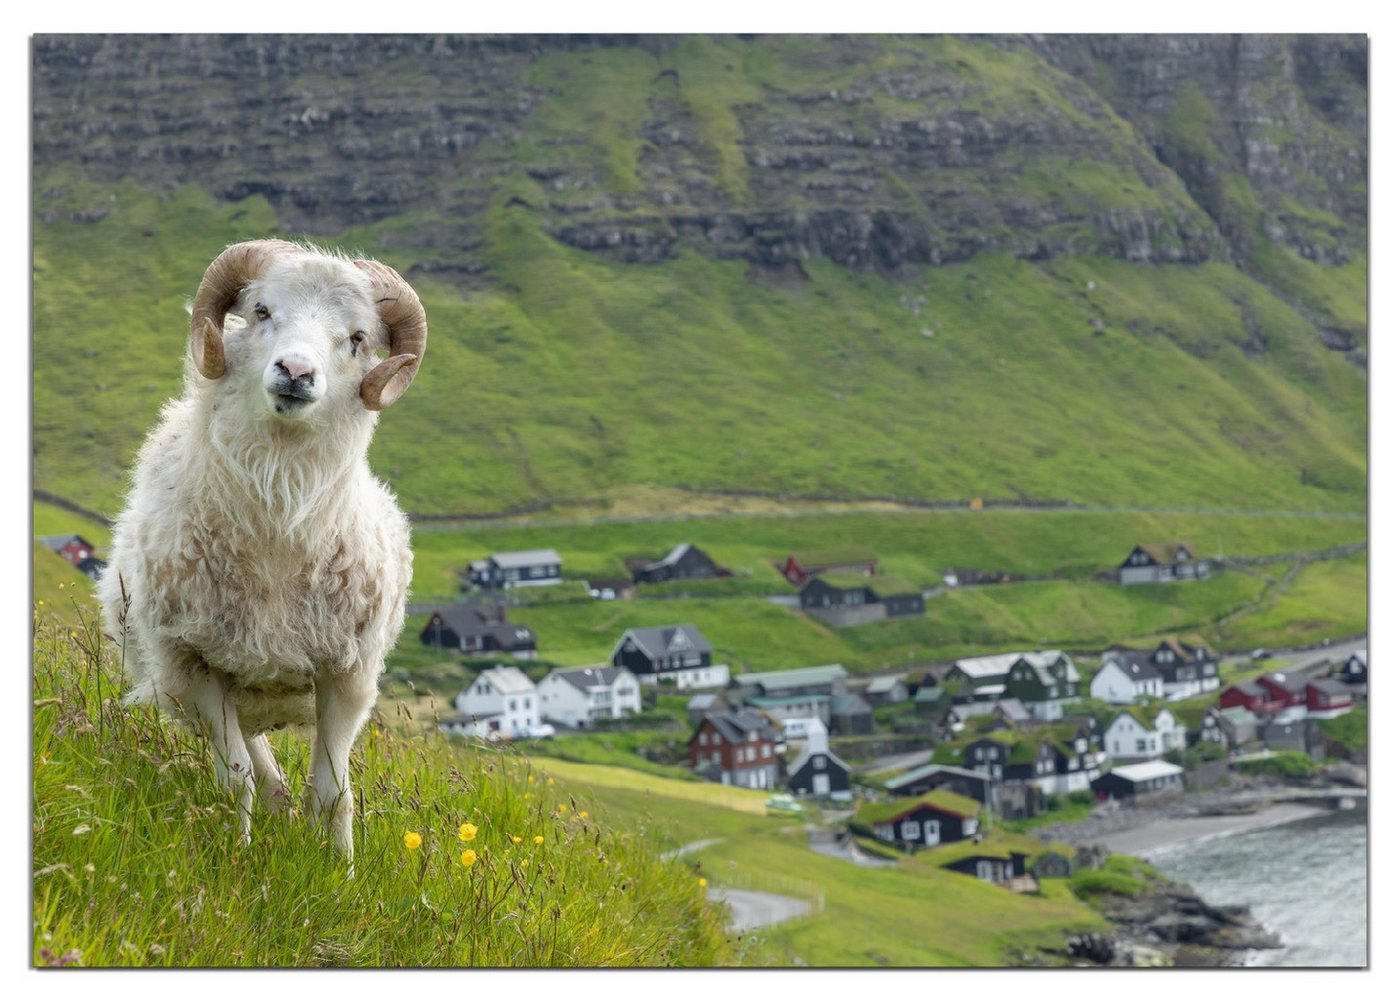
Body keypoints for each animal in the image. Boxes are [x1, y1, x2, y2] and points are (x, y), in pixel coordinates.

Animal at [99, 238, 425, 862]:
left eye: (356, 338)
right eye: (262, 311)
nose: (295, 372)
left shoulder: (348, 676)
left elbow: (333, 792)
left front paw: (340, 872)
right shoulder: (195, 666)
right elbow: (235, 781)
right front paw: (236, 859)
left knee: (277, 779)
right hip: (196, 690)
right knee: (259, 773)